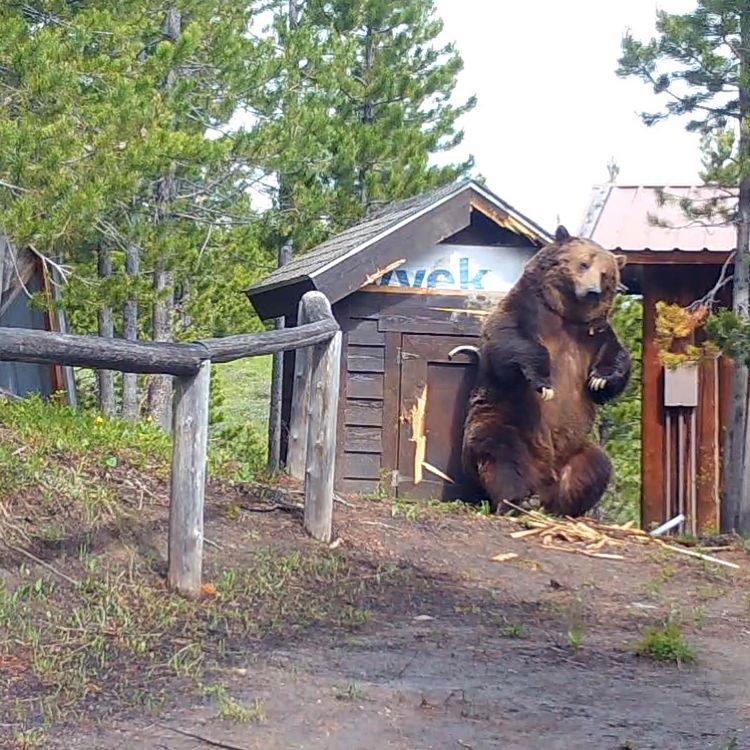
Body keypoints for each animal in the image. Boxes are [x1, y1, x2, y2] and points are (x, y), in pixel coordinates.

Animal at [462, 225, 632, 516]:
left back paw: (565, 508)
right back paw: (519, 500)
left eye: (606, 274)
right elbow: (508, 343)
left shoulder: (593, 335)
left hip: (575, 448)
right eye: (583, 263)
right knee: (502, 453)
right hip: (502, 419)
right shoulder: (527, 312)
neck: (565, 316)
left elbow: (615, 358)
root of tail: (544, 482)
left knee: (595, 465)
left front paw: (601, 379)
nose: (592, 292)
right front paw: (545, 382)